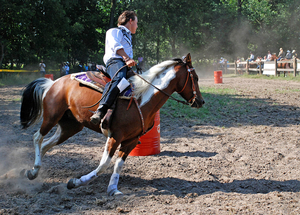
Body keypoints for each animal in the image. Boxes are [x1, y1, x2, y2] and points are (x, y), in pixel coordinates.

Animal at [19, 53, 205, 196]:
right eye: (195, 78)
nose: (201, 102)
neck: (141, 98)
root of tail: (53, 83)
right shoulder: (115, 136)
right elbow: (104, 165)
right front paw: (76, 182)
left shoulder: (131, 140)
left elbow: (118, 165)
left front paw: (113, 189)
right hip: (52, 117)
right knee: (37, 138)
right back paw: (34, 169)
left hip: (70, 126)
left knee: (46, 145)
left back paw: (34, 172)